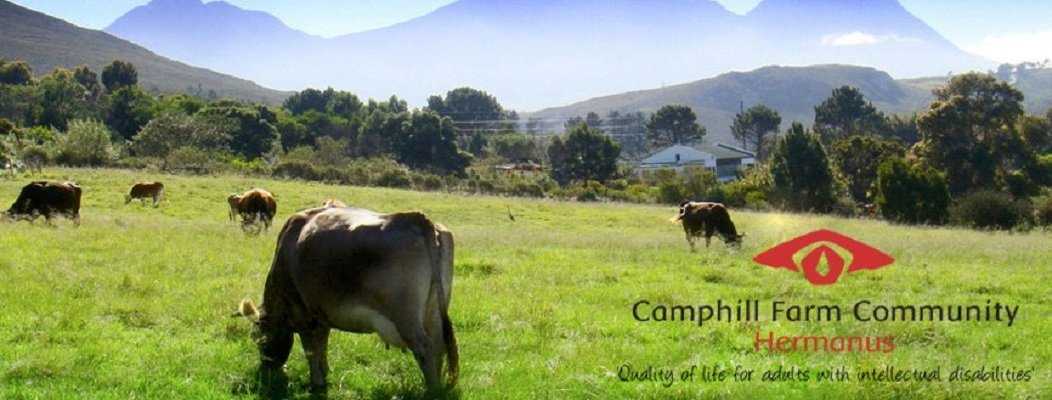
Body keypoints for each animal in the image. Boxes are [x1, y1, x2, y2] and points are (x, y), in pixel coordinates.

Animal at [234, 206, 458, 393]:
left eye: (258, 337)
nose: (267, 366)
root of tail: (417, 219)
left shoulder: (301, 313)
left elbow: (310, 349)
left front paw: (316, 382)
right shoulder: (321, 315)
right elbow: (322, 344)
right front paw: (325, 373)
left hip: (406, 317)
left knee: (425, 349)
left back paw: (432, 391)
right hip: (434, 314)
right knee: (439, 347)